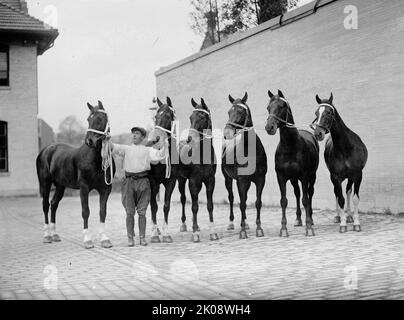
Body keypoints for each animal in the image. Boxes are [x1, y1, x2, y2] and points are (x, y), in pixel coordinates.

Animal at [35, 101, 116, 249]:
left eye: (100, 119)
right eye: (89, 119)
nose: (89, 141)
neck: (95, 159)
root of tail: (45, 150)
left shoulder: (106, 189)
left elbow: (103, 212)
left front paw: (105, 239)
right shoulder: (84, 188)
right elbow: (85, 211)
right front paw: (87, 240)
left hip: (60, 186)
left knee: (53, 204)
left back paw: (55, 235)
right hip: (45, 184)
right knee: (45, 206)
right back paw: (47, 236)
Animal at [178, 98, 219, 242]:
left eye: (202, 117)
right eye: (190, 117)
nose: (189, 139)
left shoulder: (210, 180)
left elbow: (210, 205)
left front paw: (213, 232)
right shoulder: (193, 182)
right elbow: (194, 206)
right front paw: (195, 233)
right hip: (181, 180)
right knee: (183, 199)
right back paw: (184, 225)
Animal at [223, 91, 266, 239]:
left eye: (241, 111)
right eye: (229, 111)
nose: (227, 133)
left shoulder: (260, 179)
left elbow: (258, 203)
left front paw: (259, 228)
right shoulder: (241, 180)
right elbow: (241, 204)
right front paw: (242, 231)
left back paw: (246, 223)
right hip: (228, 179)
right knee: (231, 198)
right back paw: (231, 223)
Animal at [266, 90, 318, 238]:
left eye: (281, 107)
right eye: (268, 108)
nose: (269, 127)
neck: (290, 146)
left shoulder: (305, 176)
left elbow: (306, 200)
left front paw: (309, 228)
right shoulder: (281, 177)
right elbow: (284, 201)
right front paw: (284, 229)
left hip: (312, 176)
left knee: (309, 193)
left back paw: (310, 219)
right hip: (294, 179)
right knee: (297, 193)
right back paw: (298, 219)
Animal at [310, 92, 368, 232]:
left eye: (329, 112)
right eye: (316, 113)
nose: (318, 133)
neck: (345, 148)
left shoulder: (358, 175)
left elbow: (355, 198)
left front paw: (356, 223)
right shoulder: (335, 177)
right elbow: (340, 198)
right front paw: (342, 224)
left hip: (351, 177)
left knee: (348, 191)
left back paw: (349, 216)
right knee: (337, 194)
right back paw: (338, 216)